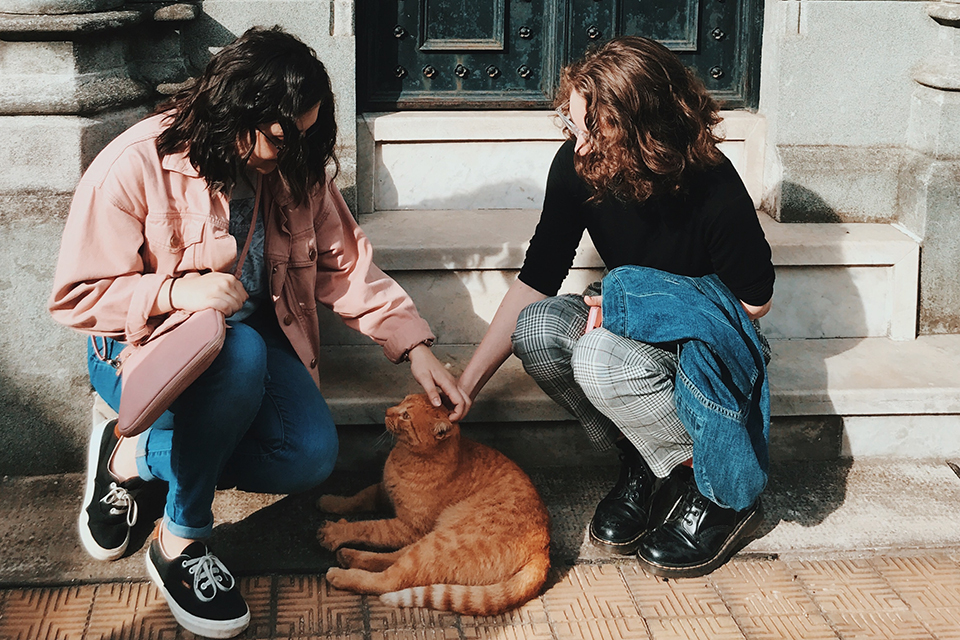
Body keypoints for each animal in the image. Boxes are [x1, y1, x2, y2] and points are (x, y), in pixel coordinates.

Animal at [316, 392, 552, 616]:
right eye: (402, 400)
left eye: (406, 416)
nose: (387, 410)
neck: (405, 456)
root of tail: (544, 550)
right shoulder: (383, 492)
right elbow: (358, 498)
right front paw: (330, 501)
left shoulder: (408, 526)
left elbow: (368, 527)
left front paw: (336, 531)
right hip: (431, 540)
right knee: (395, 557)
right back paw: (348, 555)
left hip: (438, 543)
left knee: (391, 579)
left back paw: (340, 573)